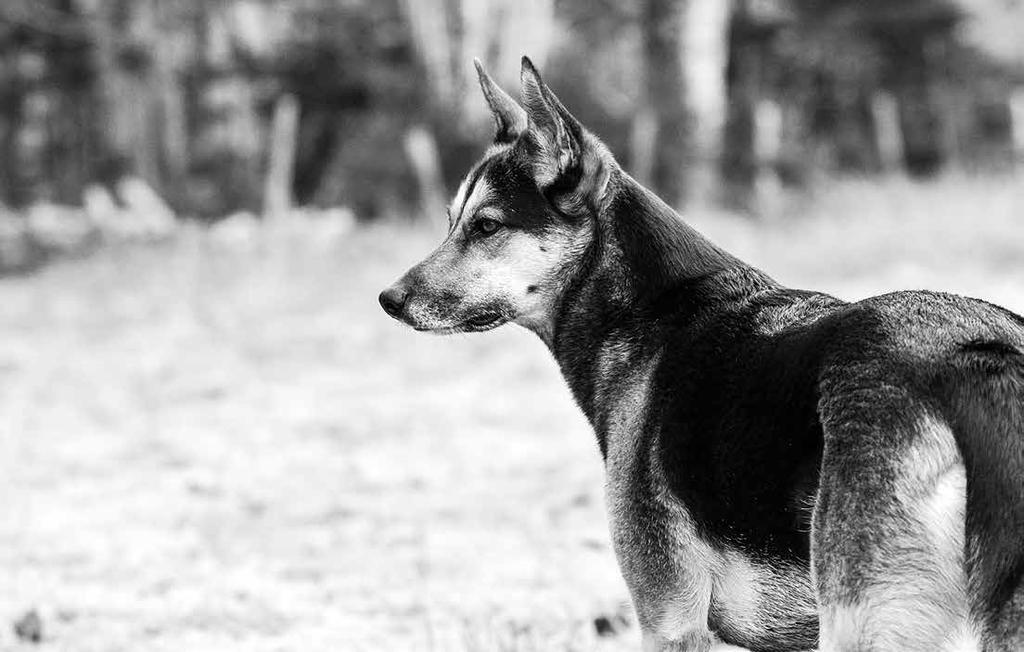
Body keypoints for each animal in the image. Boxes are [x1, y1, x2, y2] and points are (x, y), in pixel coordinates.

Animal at [378, 57, 1024, 650]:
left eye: (486, 227)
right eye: (451, 221)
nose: (388, 300)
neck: (647, 310)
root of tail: (974, 353)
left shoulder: (672, 623)